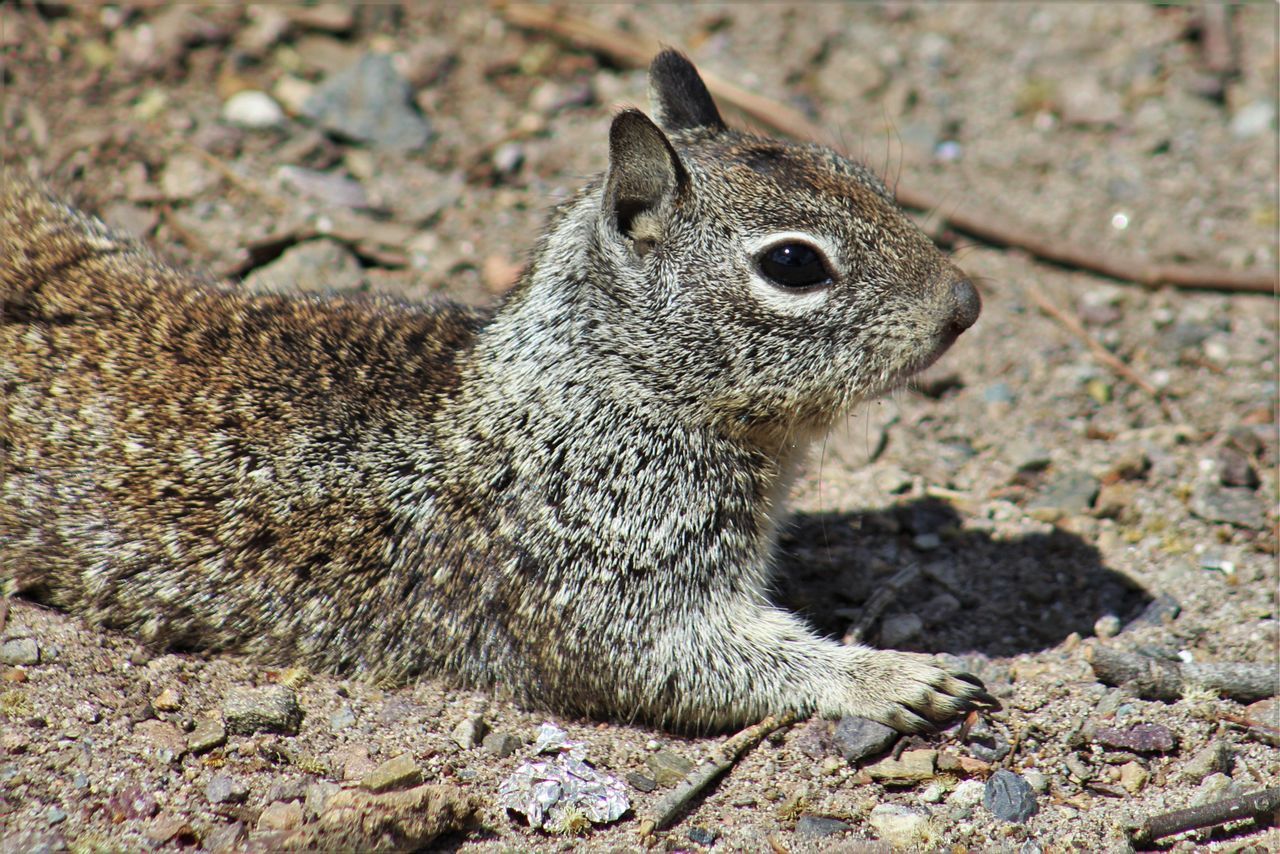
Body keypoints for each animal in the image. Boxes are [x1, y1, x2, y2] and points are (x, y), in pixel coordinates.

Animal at [2, 51, 988, 737]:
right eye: (793, 264)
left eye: (860, 176)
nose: (967, 303)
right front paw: (891, 676)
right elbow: (692, 661)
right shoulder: (603, 574)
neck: (605, 385)